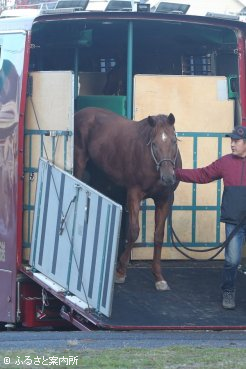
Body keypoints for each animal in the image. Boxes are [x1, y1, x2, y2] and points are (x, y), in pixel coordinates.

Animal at [74, 105, 182, 288]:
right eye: (154, 144)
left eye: (174, 141)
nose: (168, 178)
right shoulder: (134, 194)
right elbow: (133, 231)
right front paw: (120, 271)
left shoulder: (164, 199)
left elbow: (158, 235)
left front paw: (158, 277)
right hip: (80, 164)